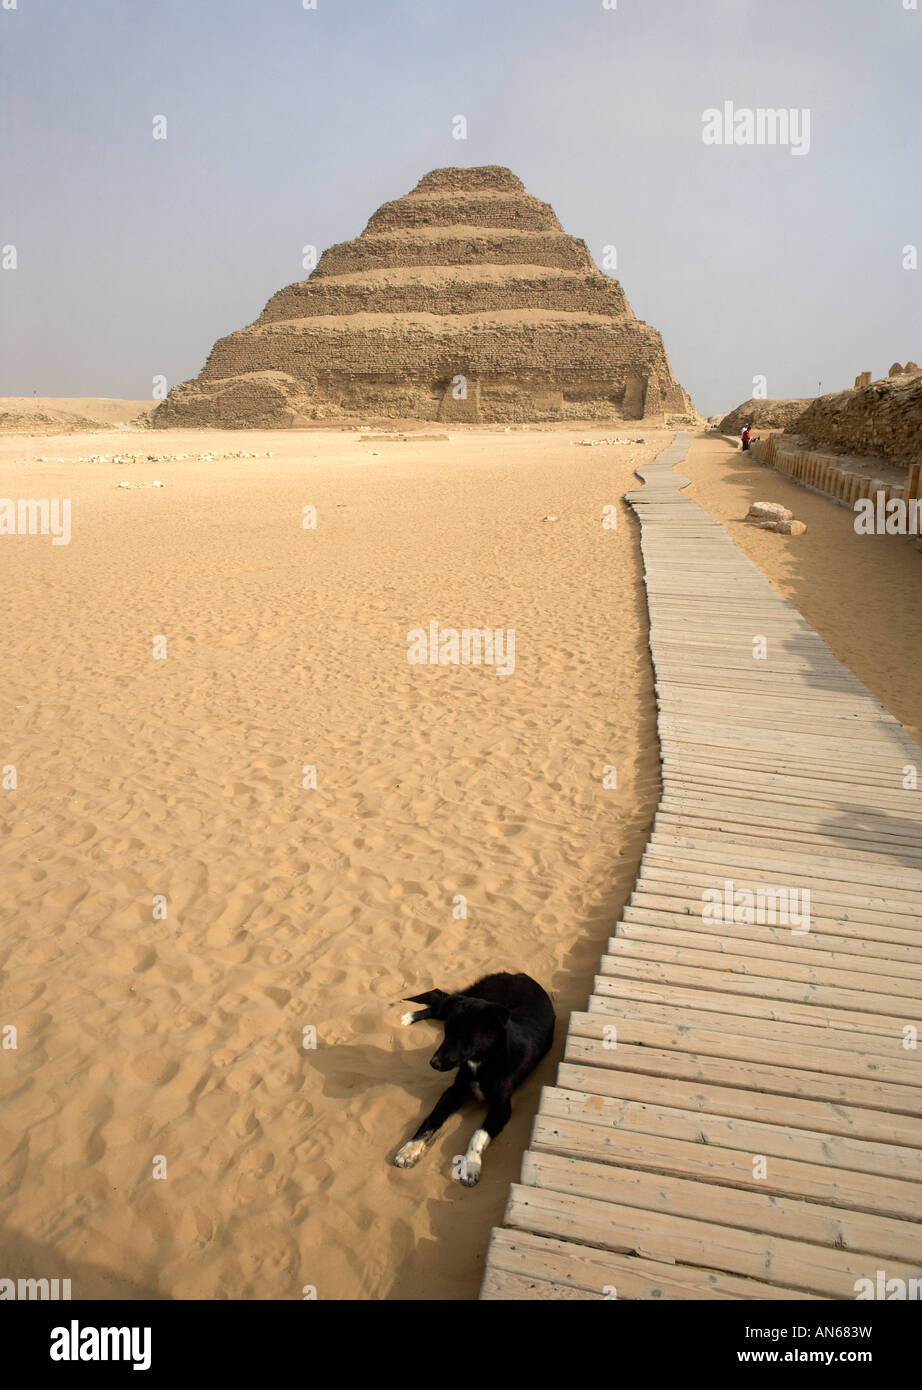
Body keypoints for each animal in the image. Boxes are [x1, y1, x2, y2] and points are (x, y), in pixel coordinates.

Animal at [392, 973, 550, 1189]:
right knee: (438, 997)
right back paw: (410, 1015)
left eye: (465, 1038)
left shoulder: (502, 1107)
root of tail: (518, 975)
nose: (433, 1063)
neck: (482, 1061)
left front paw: (471, 1164)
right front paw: (409, 1148)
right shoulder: (454, 1091)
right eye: (446, 1033)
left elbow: (478, 1134)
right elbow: (431, 1119)